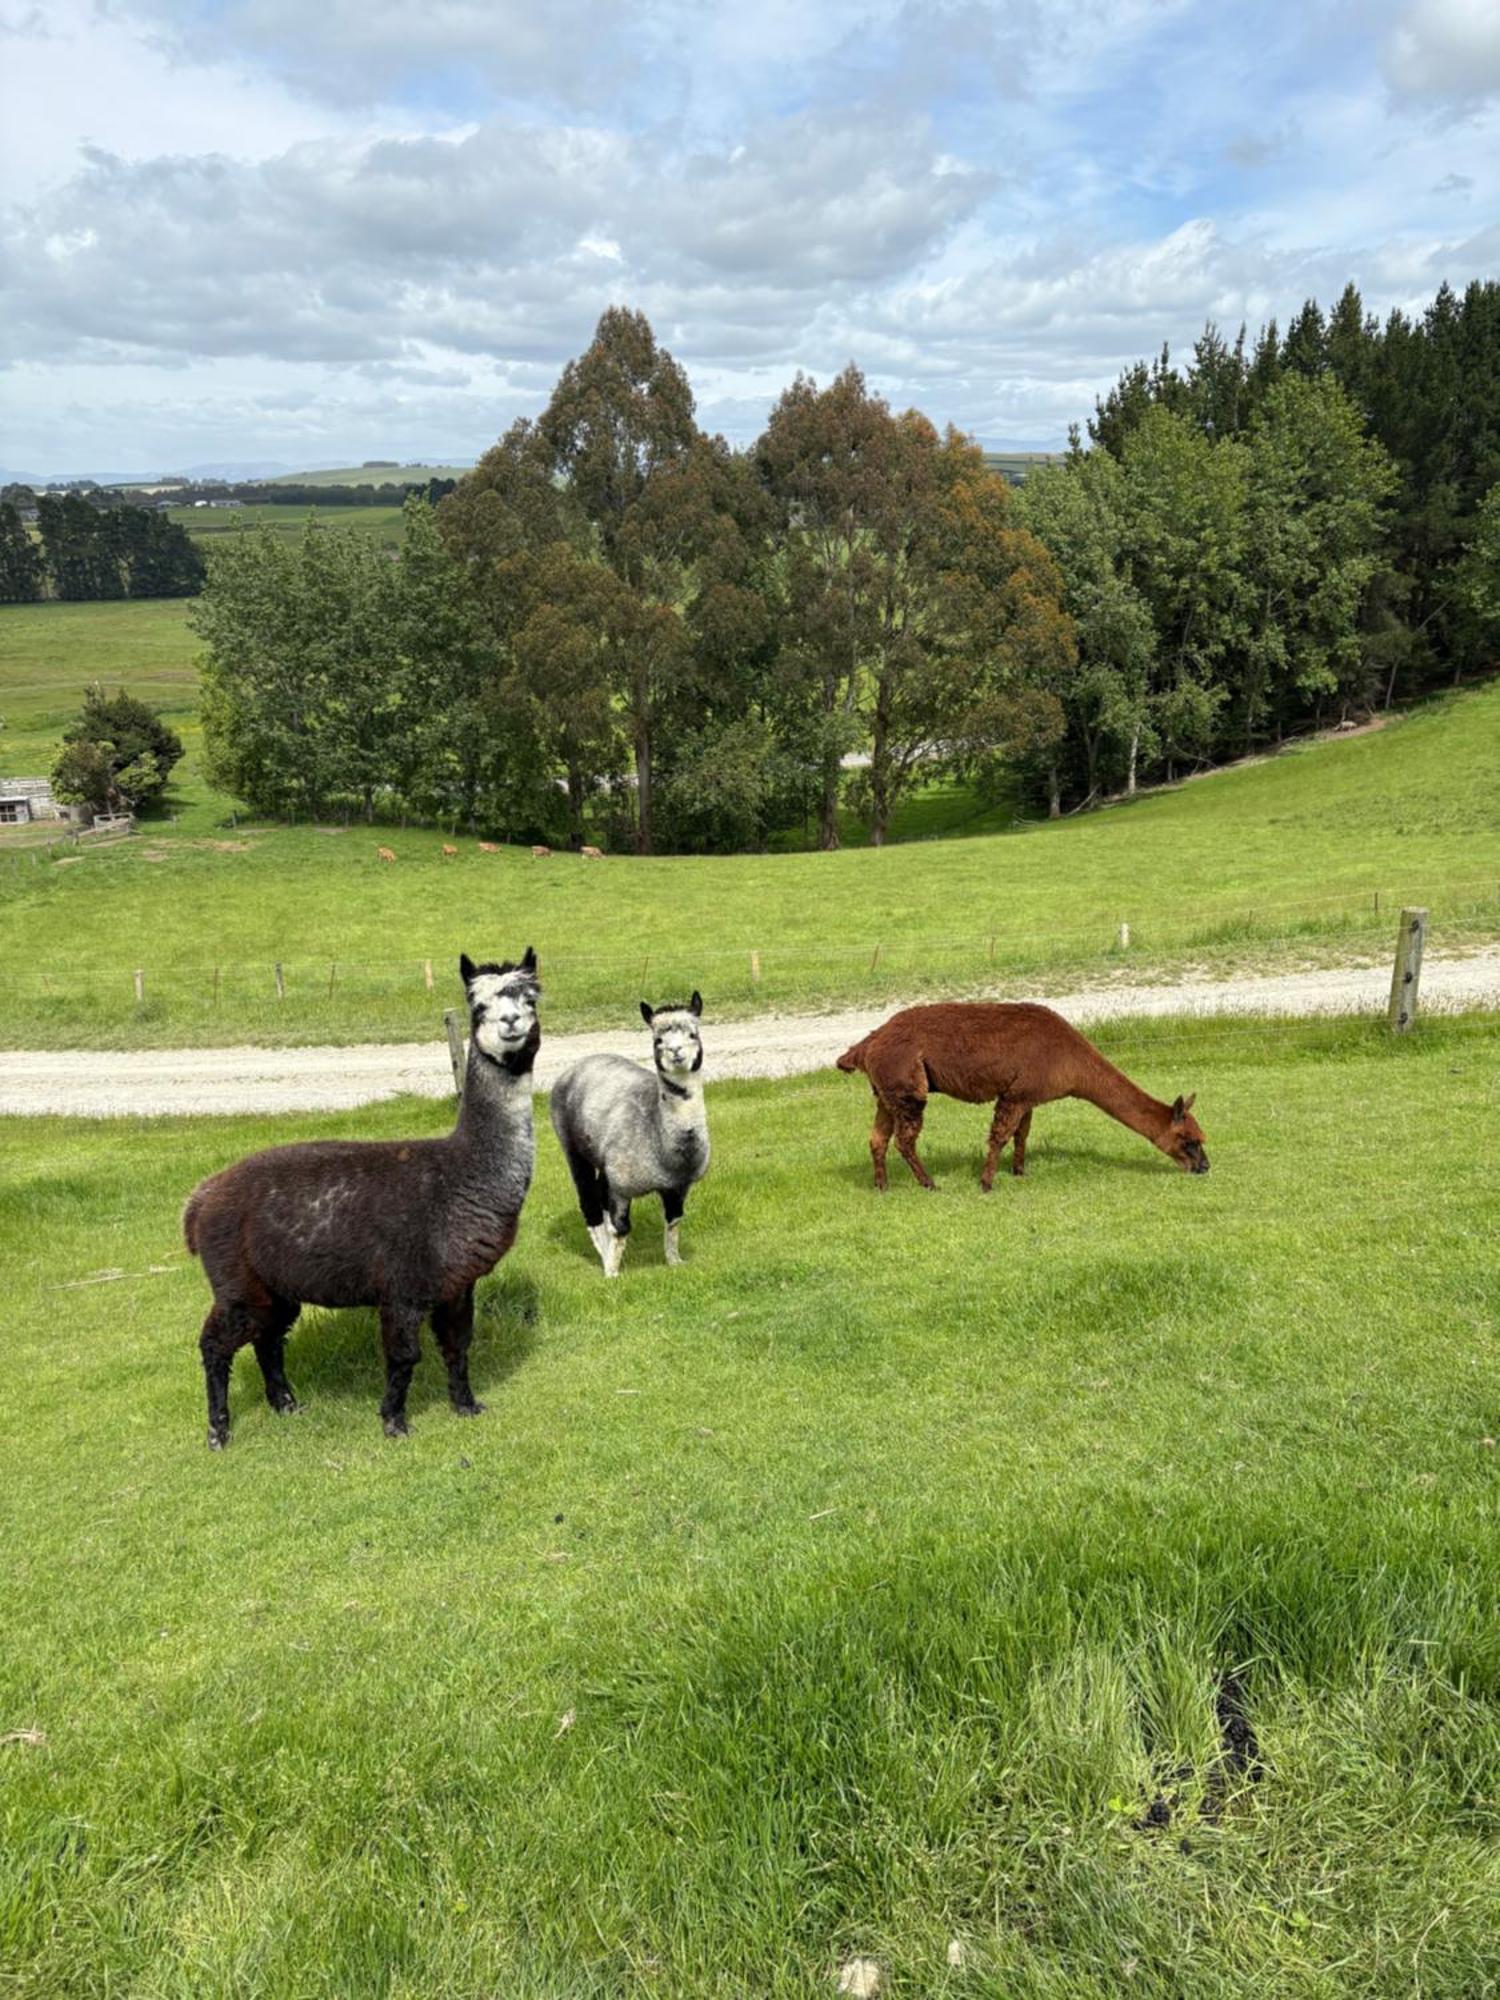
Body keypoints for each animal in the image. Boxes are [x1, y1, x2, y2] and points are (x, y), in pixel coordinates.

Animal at [184, 948, 544, 1440]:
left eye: (531, 998)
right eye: (478, 1006)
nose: (510, 1023)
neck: (459, 1176)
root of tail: (203, 1195)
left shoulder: (457, 1282)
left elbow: (458, 1347)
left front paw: (466, 1406)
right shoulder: (402, 1284)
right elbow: (404, 1356)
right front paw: (394, 1421)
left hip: (273, 1282)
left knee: (268, 1337)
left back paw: (286, 1404)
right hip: (235, 1278)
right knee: (217, 1342)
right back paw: (219, 1431)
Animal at [840, 1000, 1216, 1184]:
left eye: (1199, 1139)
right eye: (1188, 1141)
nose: (1204, 1167)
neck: (1069, 1059)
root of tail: (866, 1044)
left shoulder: (1030, 1095)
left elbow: (1022, 1135)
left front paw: (1020, 1173)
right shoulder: (1016, 1094)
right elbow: (1000, 1136)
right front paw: (987, 1183)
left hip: (887, 1091)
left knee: (877, 1139)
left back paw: (882, 1186)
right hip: (907, 1085)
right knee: (905, 1140)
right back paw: (929, 1183)